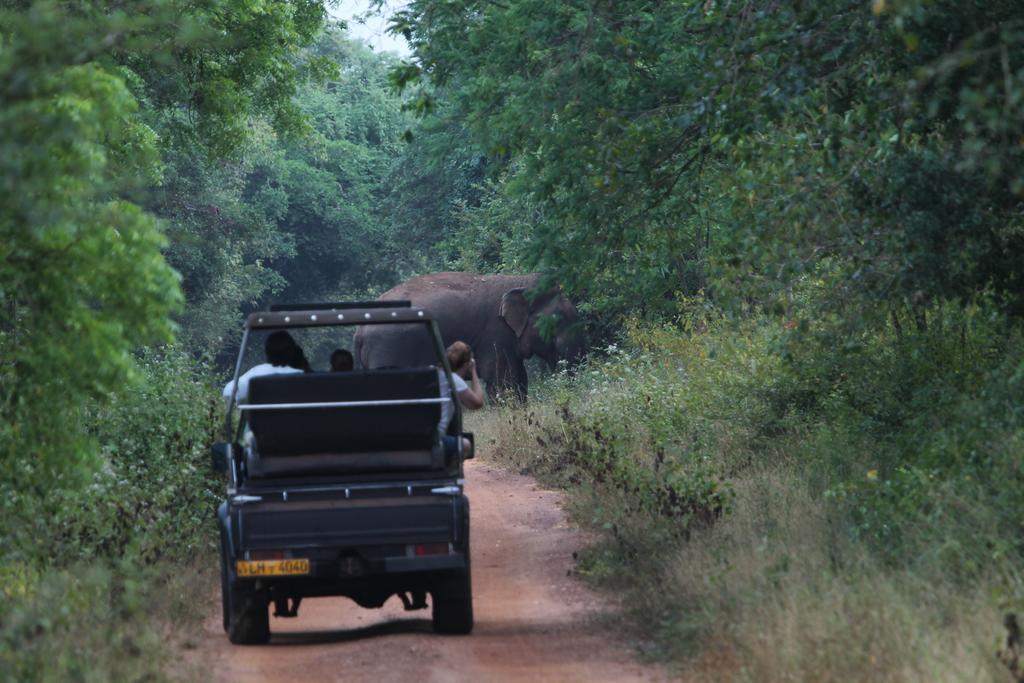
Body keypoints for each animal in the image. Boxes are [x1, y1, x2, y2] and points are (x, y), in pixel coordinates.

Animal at [354, 274, 585, 401]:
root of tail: (359, 331)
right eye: (560, 319)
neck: (521, 281)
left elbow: (520, 379)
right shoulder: (495, 332)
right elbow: (505, 381)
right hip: (388, 351)